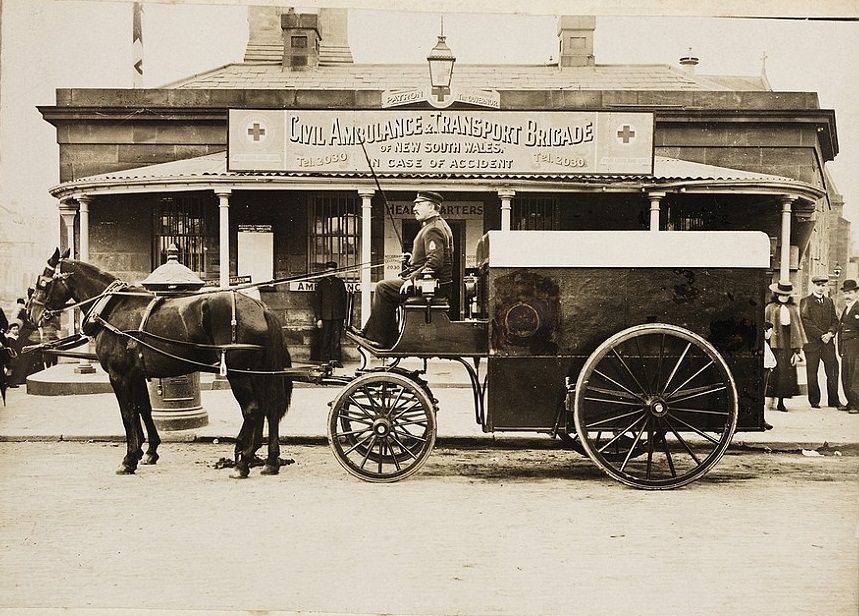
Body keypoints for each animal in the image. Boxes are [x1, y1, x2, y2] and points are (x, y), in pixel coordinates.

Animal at [26, 248, 292, 478]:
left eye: (42, 282)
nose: (31, 315)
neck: (112, 307)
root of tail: (260, 307)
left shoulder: (119, 375)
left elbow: (127, 413)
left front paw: (129, 459)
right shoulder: (136, 375)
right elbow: (143, 409)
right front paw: (149, 451)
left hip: (239, 373)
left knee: (253, 409)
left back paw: (243, 462)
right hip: (257, 371)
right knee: (269, 409)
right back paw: (268, 461)